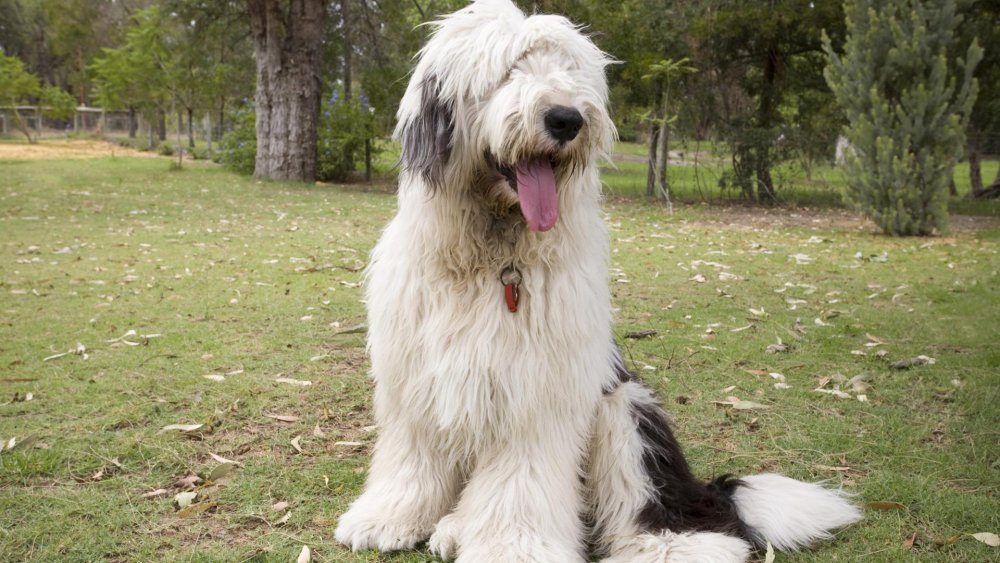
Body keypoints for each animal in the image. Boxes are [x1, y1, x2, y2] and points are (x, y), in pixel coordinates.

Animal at [334, 2, 860, 560]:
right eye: (507, 70)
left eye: (569, 71)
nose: (567, 119)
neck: (494, 257)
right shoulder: (416, 379)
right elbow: (414, 455)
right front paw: (390, 517)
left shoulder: (538, 393)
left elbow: (521, 481)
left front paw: (514, 546)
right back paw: (454, 525)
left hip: (625, 412)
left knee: (667, 509)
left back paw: (670, 545)